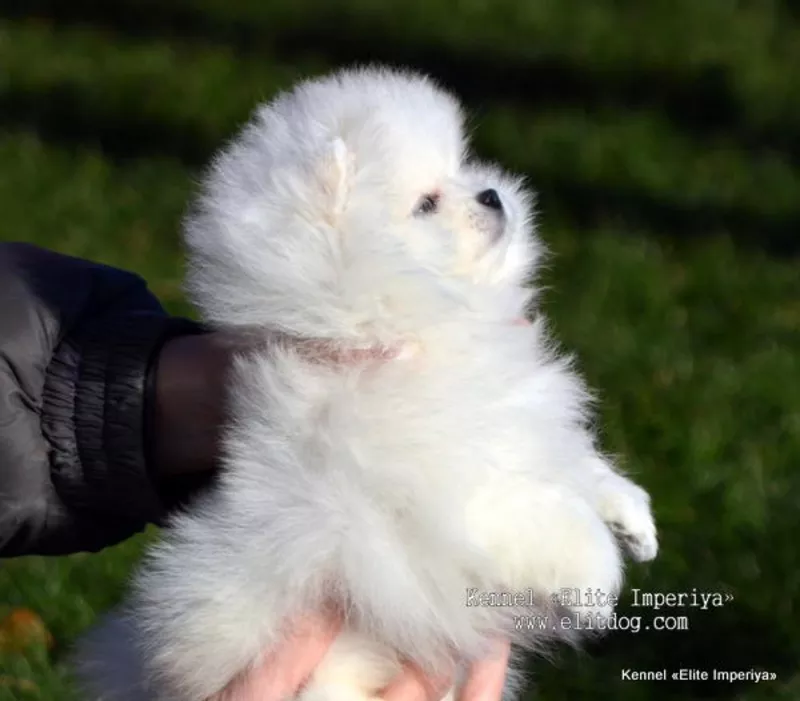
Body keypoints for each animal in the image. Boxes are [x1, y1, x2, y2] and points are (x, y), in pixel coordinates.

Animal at [79, 65, 656, 700]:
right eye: (427, 203)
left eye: (462, 167)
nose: (491, 194)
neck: (420, 331)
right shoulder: (445, 491)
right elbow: (539, 511)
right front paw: (598, 579)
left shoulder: (525, 421)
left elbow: (577, 466)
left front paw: (633, 518)